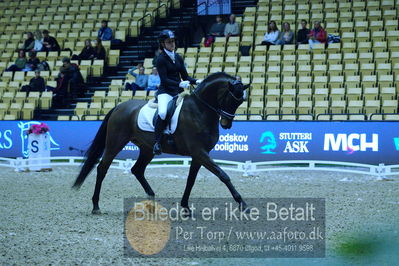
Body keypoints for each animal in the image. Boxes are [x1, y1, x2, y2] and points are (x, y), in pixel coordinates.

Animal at [72, 72, 250, 214]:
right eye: (231, 99)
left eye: (240, 102)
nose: (226, 124)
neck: (200, 110)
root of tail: (119, 106)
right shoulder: (199, 152)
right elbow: (223, 175)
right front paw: (243, 204)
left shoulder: (199, 155)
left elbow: (191, 180)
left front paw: (185, 207)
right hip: (115, 143)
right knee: (102, 168)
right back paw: (96, 206)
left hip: (146, 149)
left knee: (137, 170)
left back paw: (151, 200)